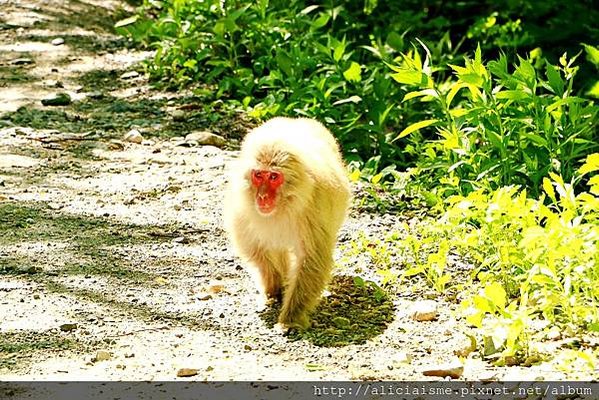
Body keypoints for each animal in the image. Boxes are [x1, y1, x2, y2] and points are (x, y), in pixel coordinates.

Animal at [224, 116, 352, 332]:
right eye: (258, 175)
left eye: (274, 177)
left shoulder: (313, 210)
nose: (262, 196)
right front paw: (274, 288)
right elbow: (255, 248)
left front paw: (291, 318)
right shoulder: (242, 207)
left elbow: (312, 259)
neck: (283, 206)